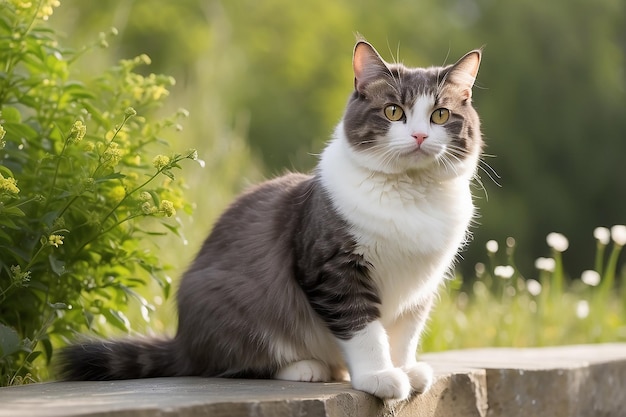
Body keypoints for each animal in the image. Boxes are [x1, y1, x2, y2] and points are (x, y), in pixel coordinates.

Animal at [57, 40, 482, 402]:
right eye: (394, 111)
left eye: (440, 114)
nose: (420, 136)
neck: (411, 196)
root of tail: (183, 339)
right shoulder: (334, 269)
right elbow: (365, 330)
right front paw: (379, 377)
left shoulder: (421, 287)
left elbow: (404, 335)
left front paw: (406, 370)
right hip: (234, 309)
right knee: (238, 363)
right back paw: (307, 368)